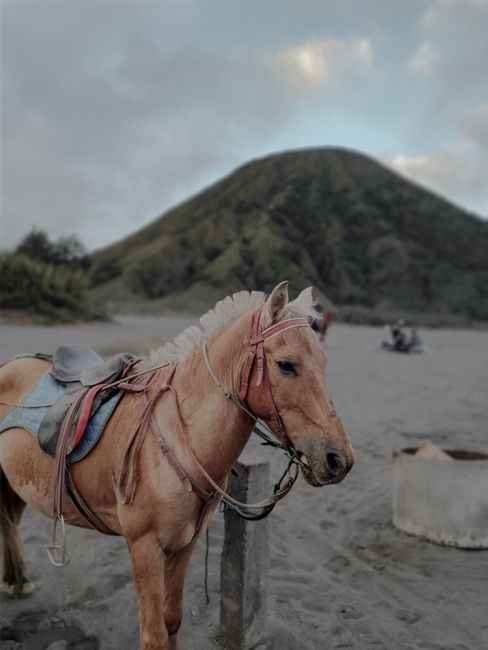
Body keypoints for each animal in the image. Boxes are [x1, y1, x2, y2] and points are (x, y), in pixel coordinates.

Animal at [0, 281, 354, 650]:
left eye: (324, 362)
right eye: (286, 365)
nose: (338, 460)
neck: (178, 437)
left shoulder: (184, 545)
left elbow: (172, 620)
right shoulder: (145, 547)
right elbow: (154, 635)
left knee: (8, 522)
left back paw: (17, 580)